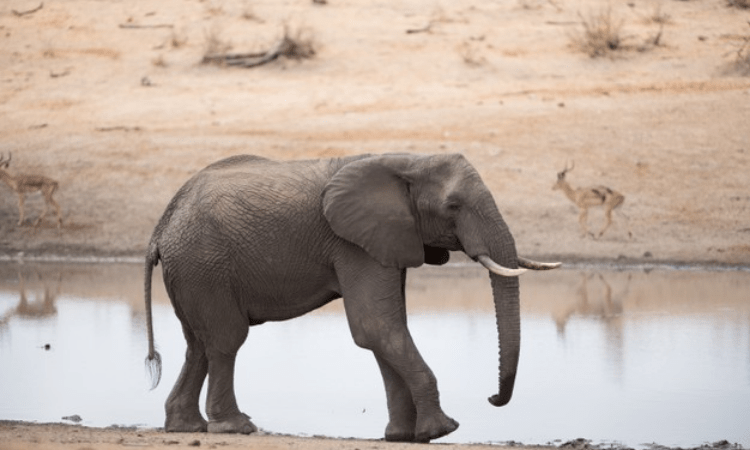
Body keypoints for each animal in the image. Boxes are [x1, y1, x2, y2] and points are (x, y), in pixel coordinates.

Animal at [143, 152, 560, 443]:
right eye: (453, 207)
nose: (491, 398)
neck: (407, 160)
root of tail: (161, 226)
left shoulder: (389, 239)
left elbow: (385, 330)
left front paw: (402, 436)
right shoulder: (353, 244)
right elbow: (377, 328)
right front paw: (441, 430)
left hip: (192, 270)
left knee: (198, 345)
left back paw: (185, 426)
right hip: (204, 263)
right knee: (226, 340)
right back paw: (236, 427)